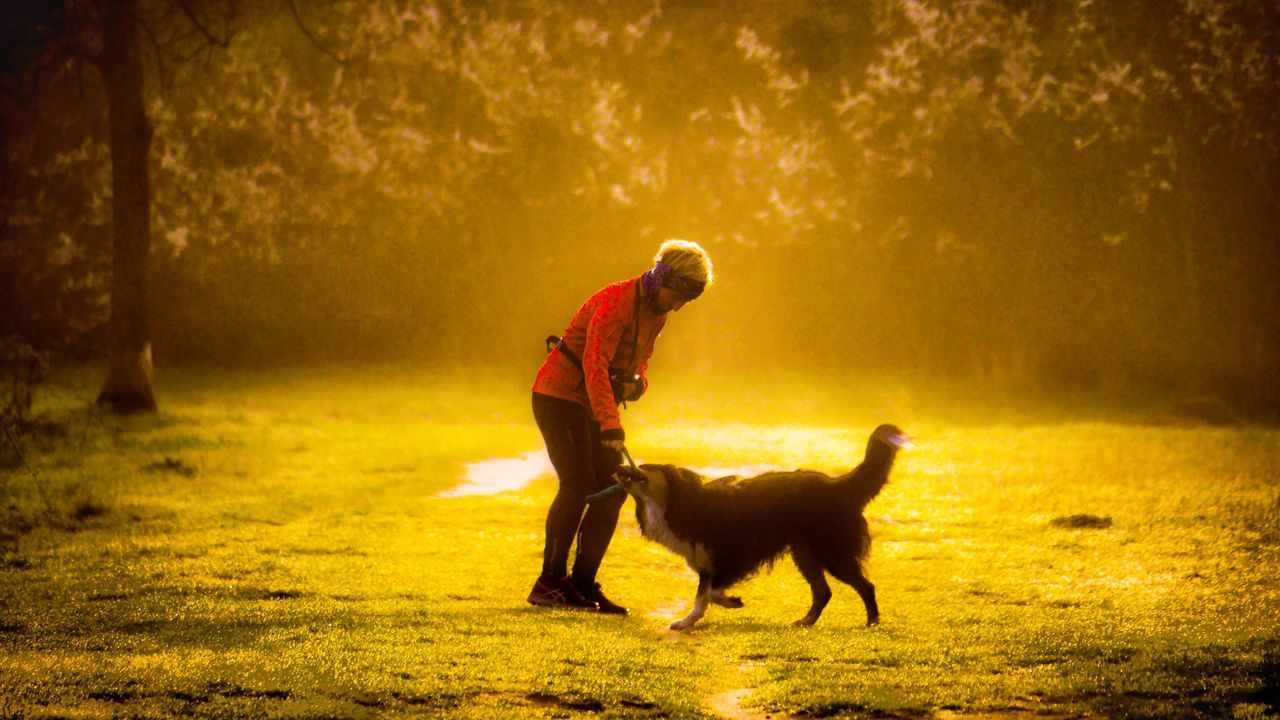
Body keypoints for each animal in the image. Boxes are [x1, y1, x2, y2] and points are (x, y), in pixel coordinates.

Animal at [619, 422, 911, 630]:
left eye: (643, 467)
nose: (618, 467)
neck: (681, 502)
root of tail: (837, 485)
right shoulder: (707, 563)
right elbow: (702, 596)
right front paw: (688, 621)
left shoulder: (730, 557)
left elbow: (709, 594)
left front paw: (730, 602)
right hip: (805, 553)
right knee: (823, 592)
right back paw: (806, 622)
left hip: (831, 552)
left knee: (865, 586)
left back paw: (872, 622)